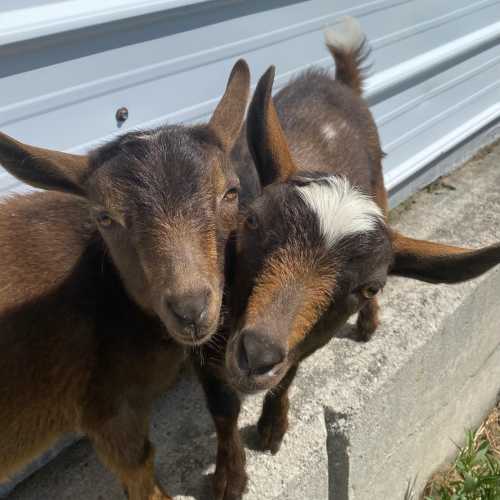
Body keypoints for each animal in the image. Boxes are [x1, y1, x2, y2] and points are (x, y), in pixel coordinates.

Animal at [196, 16, 500, 500]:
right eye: (253, 222)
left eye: (368, 286)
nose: (258, 353)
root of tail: (339, 82)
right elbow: (223, 408)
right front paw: (231, 477)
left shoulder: (305, 339)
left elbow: (288, 376)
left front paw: (273, 428)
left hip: (379, 183)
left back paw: (369, 326)